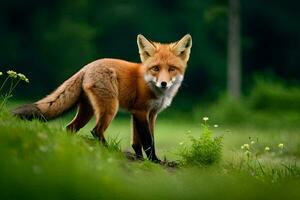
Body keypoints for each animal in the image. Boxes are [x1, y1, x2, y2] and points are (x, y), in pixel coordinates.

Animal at [12, 34, 192, 162]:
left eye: (172, 69)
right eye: (156, 68)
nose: (163, 83)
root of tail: (87, 66)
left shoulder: (149, 114)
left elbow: (139, 141)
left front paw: (141, 159)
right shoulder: (141, 112)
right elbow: (147, 140)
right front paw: (154, 161)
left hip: (88, 110)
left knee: (70, 127)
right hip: (110, 107)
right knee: (96, 130)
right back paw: (109, 150)